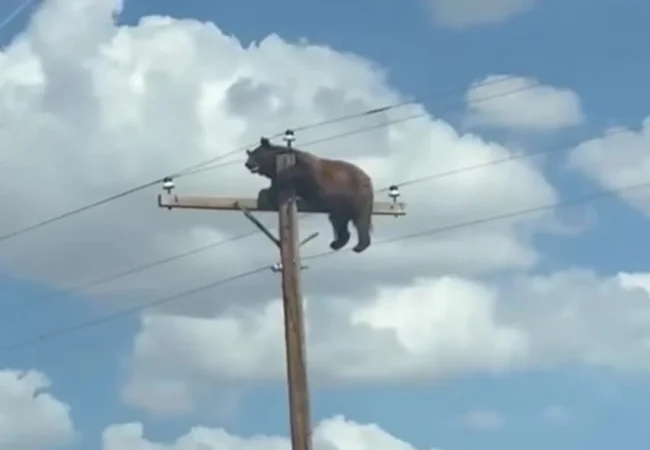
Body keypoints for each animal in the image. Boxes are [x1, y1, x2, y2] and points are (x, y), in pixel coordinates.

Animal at [244, 137, 374, 253]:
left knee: (361, 219)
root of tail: (368, 178)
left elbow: (295, 173)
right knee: (338, 220)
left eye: (255, 154)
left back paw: (359, 245)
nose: (247, 163)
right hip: (342, 203)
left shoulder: (307, 169)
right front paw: (264, 196)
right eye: (249, 154)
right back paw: (337, 243)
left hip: (356, 194)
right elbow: (272, 188)